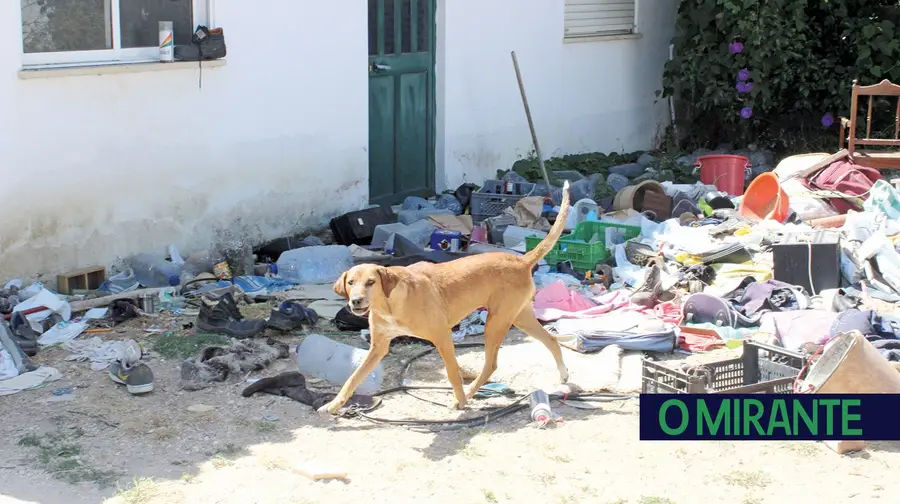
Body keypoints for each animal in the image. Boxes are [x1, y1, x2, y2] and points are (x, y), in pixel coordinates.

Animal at [316, 181, 568, 414]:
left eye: (371, 282)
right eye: (351, 283)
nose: (356, 301)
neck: (390, 304)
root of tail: (522, 260)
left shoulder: (442, 336)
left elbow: (452, 372)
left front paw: (461, 401)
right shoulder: (378, 347)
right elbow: (353, 378)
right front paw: (333, 404)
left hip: (496, 322)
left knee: (491, 364)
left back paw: (469, 393)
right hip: (519, 317)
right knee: (551, 340)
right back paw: (563, 375)